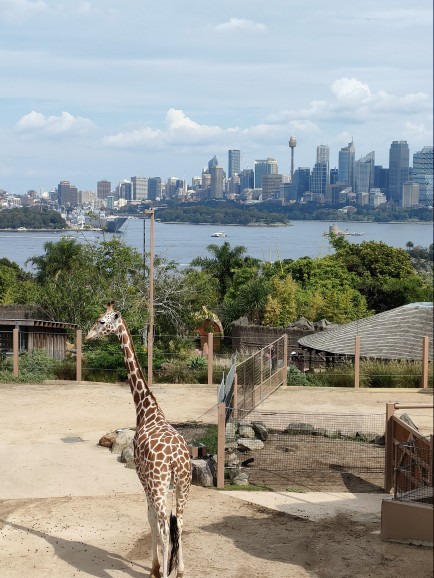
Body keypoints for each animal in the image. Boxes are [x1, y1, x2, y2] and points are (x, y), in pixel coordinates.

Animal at [85, 302, 191, 576]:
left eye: (102, 321)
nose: (88, 336)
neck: (147, 410)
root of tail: (176, 461)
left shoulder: (143, 478)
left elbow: (150, 519)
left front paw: (154, 567)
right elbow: (160, 522)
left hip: (159, 484)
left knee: (164, 526)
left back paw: (164, 573)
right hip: (183, 485)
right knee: (180, 523)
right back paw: (180, 570)